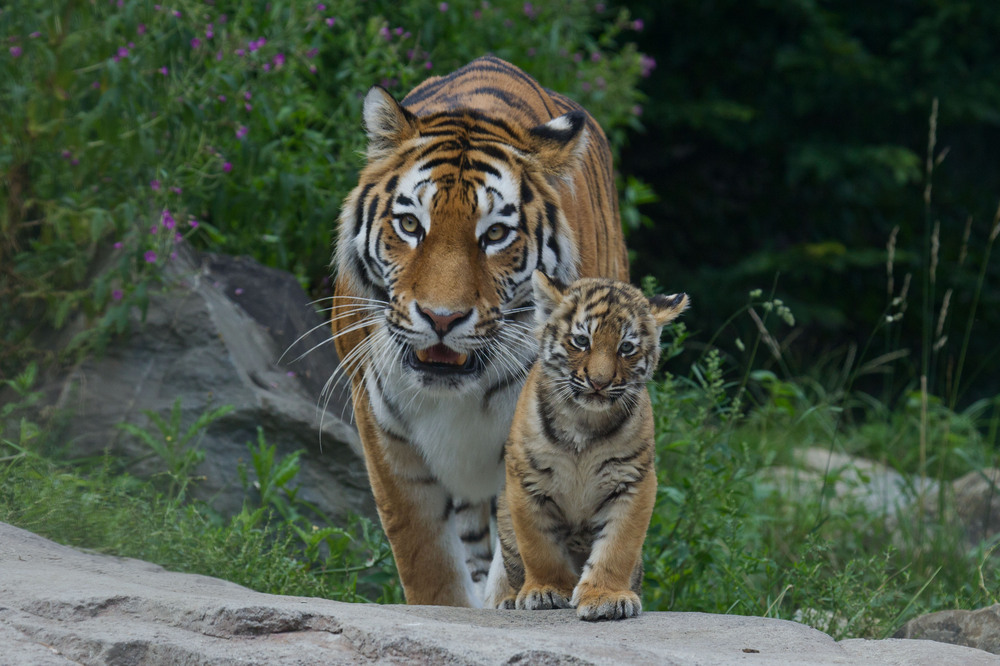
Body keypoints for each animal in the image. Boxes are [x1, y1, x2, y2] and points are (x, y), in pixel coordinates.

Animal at [338, 54, 632, 604]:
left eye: (495, 234)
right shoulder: (382, 426)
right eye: (411, 225)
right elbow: (425, 557)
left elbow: (521, 545)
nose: (441, 318)